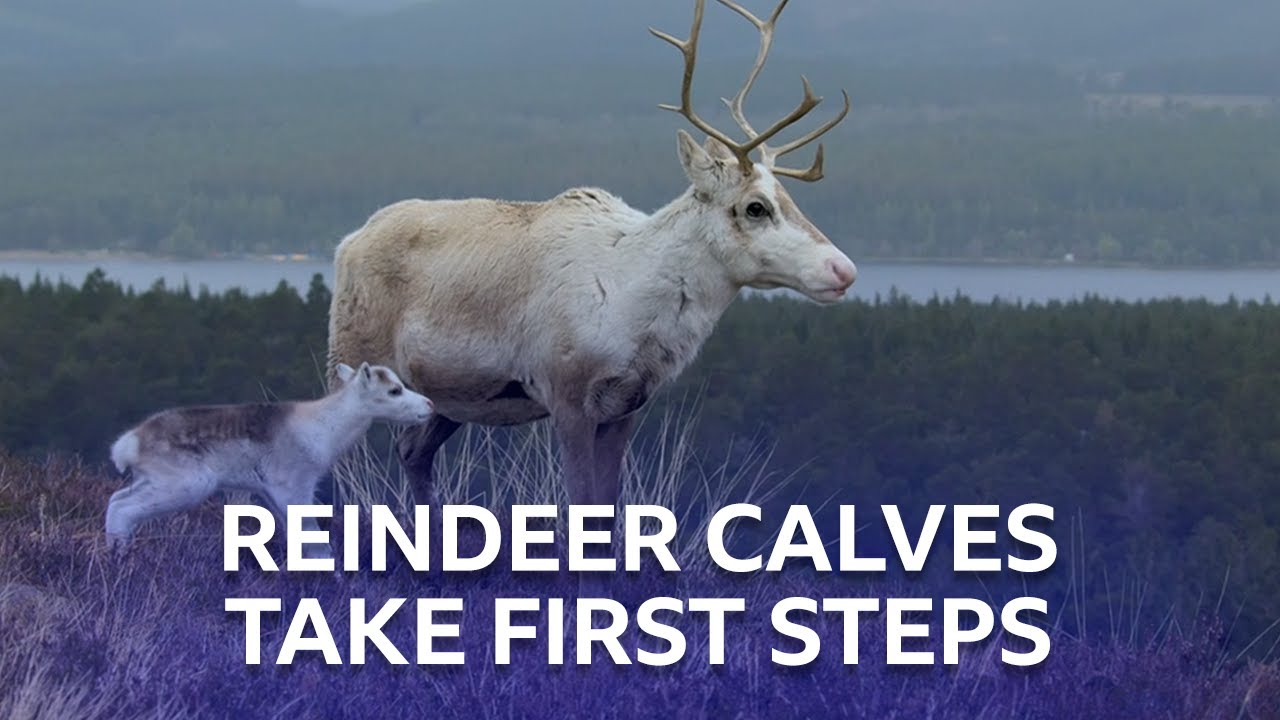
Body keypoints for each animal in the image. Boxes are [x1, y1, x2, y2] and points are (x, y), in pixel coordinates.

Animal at [327, 0, 856, 528]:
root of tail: (348, 242)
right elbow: (582, 507)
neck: (632, 307)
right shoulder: (567, 397)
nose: (843, 270)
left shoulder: (624, 408)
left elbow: (605, 514)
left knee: (412, 450)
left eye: (790, 197)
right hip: (349, 364)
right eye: (755, 207)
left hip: (446, 399)